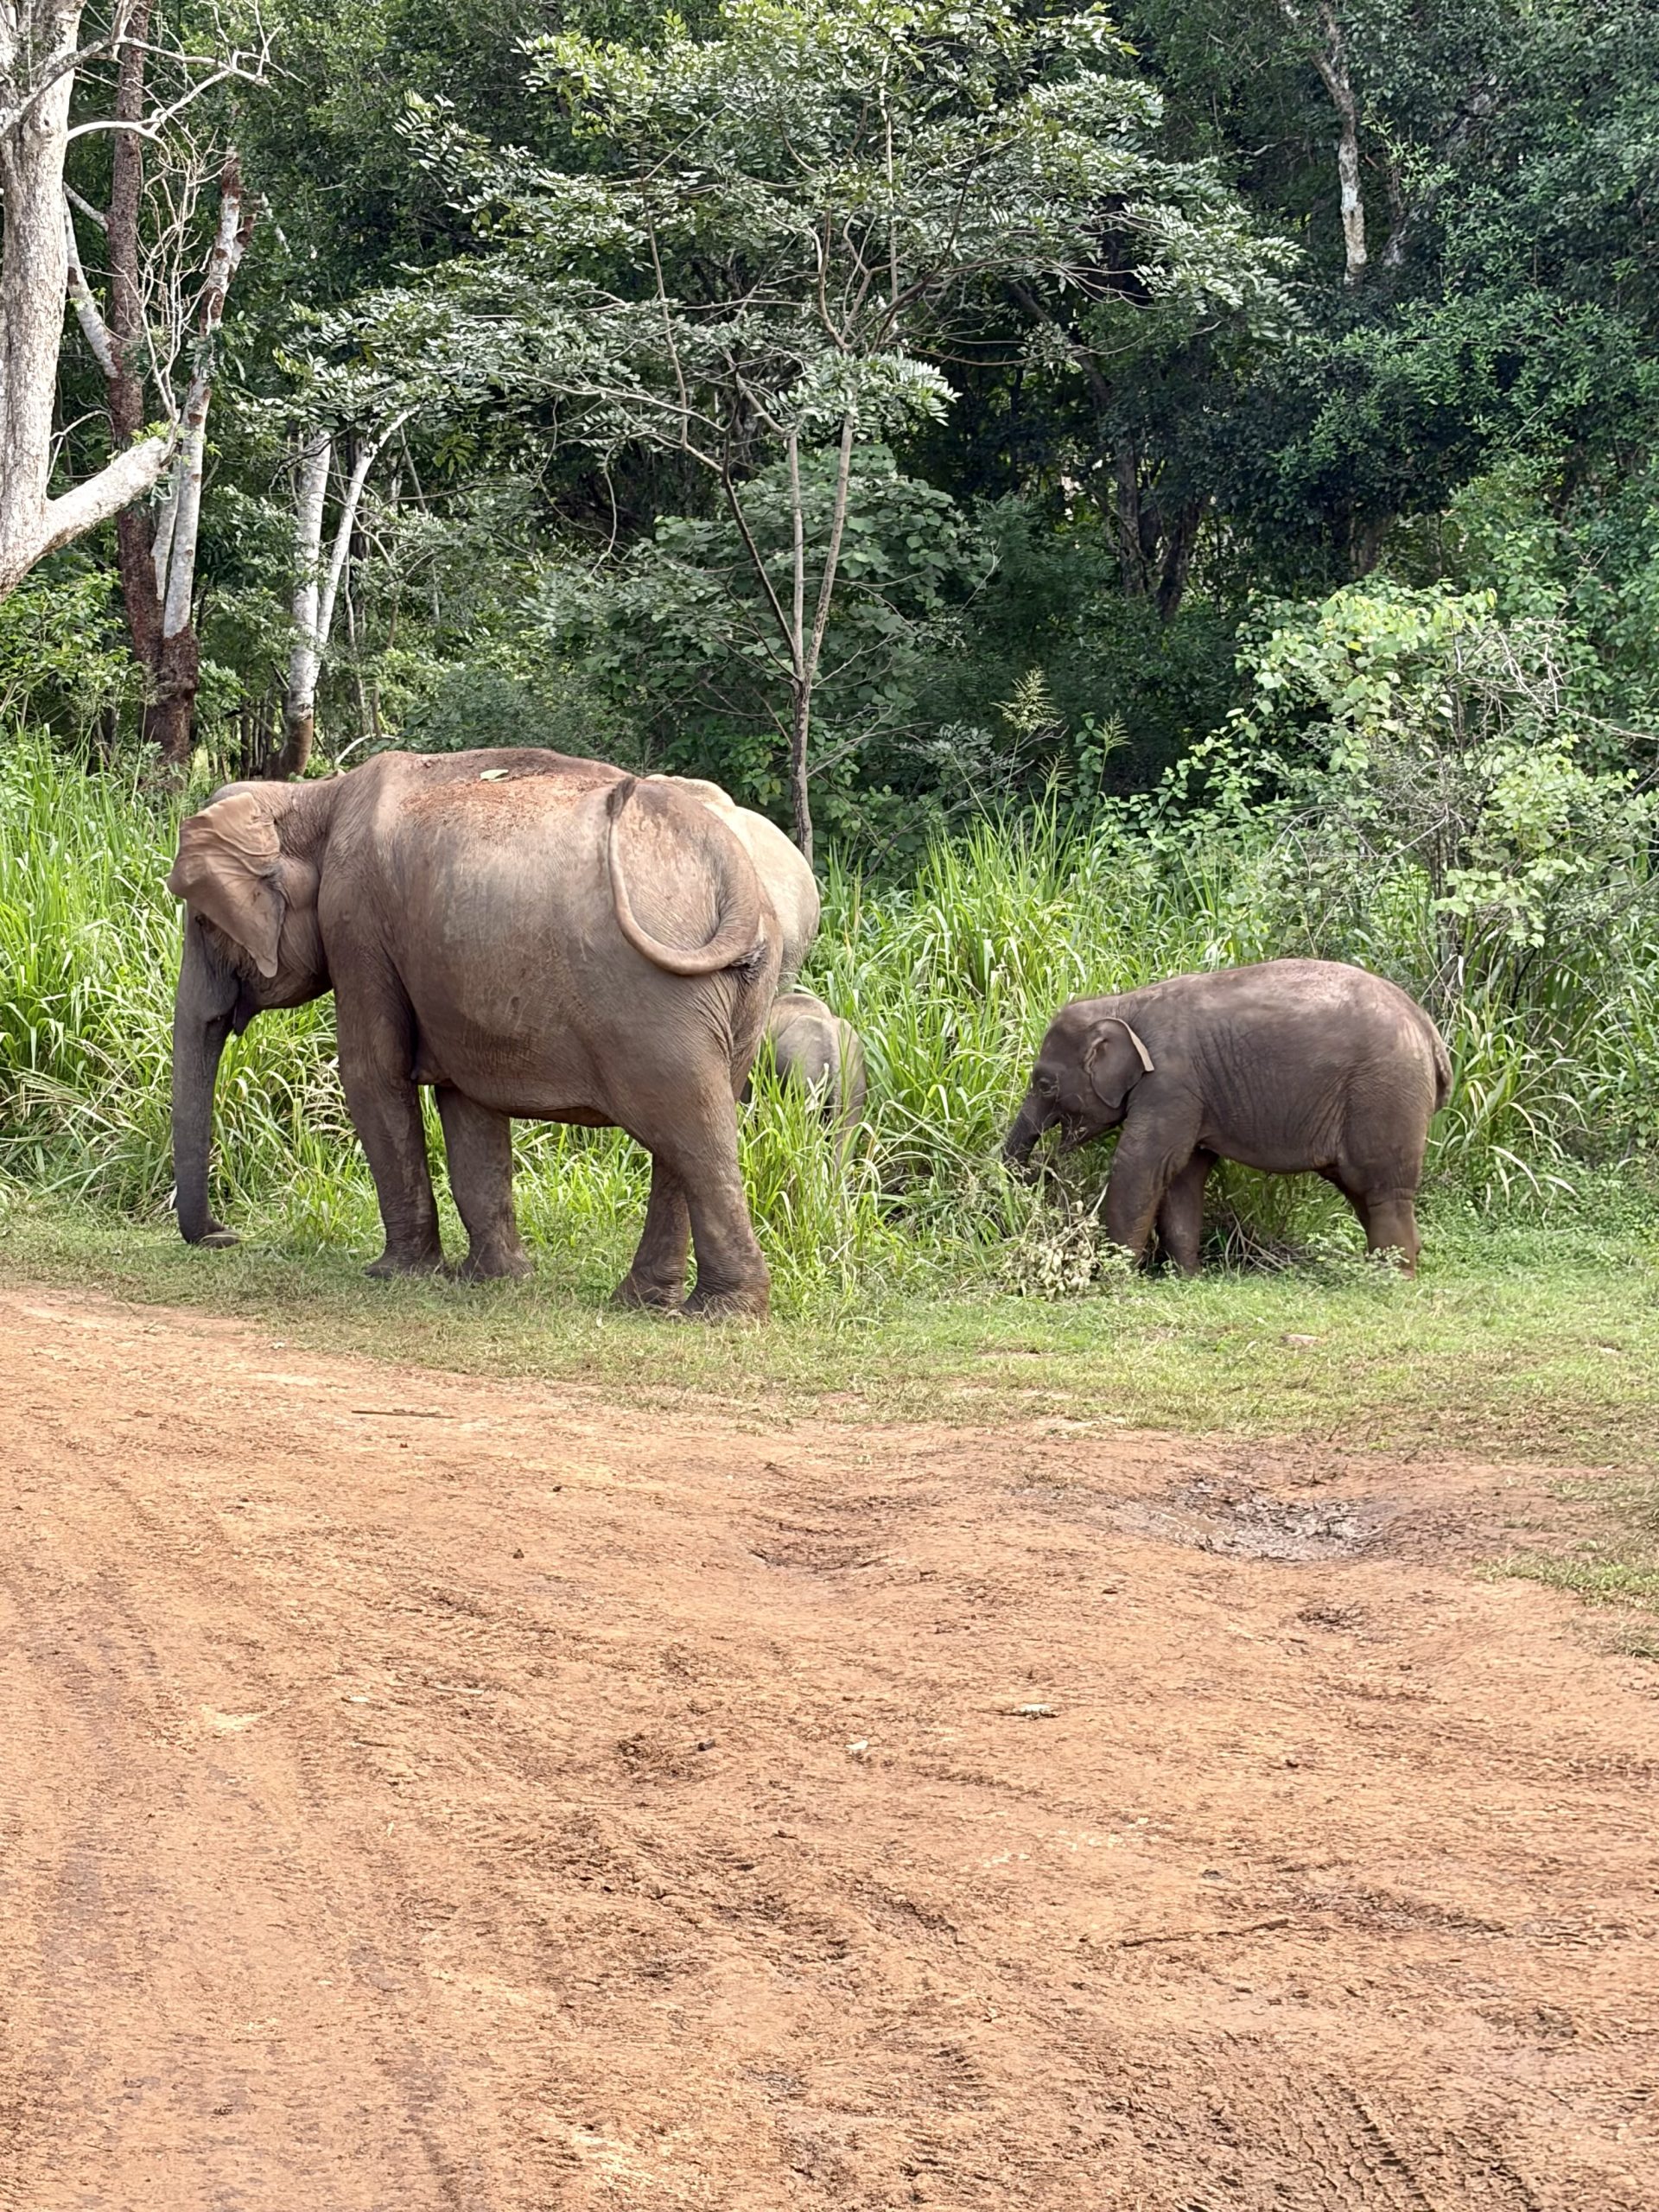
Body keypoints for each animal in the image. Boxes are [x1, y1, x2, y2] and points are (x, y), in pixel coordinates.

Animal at [166, 746, 821, 1317]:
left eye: (203, 922)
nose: (228, 1235)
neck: (313, 796)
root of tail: (734, 870)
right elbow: (467, 1100)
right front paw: (494, 1280)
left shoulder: (355, 919)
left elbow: (372, 1074)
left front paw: (395, 1274)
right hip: (744, 994)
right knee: (690, 1131)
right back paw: (646, 1302)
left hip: (656, 1004)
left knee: (691, 1131)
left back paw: (720, 1314)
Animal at [1003, 958, 1452, 1274]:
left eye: (1045, 1084)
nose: (1042, 1172)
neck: (1124, 1002)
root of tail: (1430, 1034)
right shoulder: (1190, 1095)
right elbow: (1184, 1175)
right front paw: (1187, 1276)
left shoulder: (1171, 1083)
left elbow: (1142, 1164)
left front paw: (1112, 1275)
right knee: (1363, 1190)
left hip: (1385, 1092)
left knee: (1384, 1189)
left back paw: (1393, 1279)